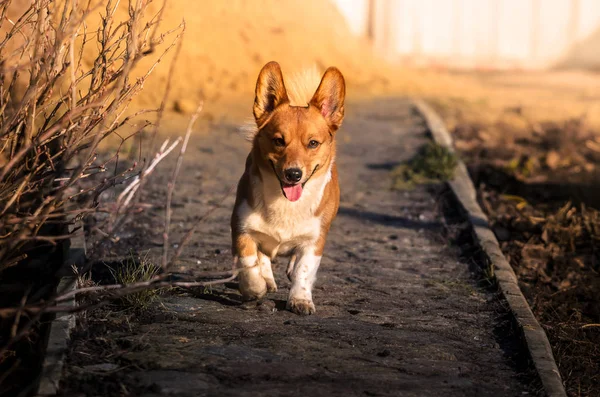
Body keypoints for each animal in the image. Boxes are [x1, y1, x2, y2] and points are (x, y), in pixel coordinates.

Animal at [230, 62, 342, 314]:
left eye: (313, 143)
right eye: (279, 141)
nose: (293, 174)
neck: (284, 203)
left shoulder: (314, 241)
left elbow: (304, 270)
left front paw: (300, 299)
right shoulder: (241, 230)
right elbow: (249, 262)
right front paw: (255, 289)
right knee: (261, 258)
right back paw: (267, 280)